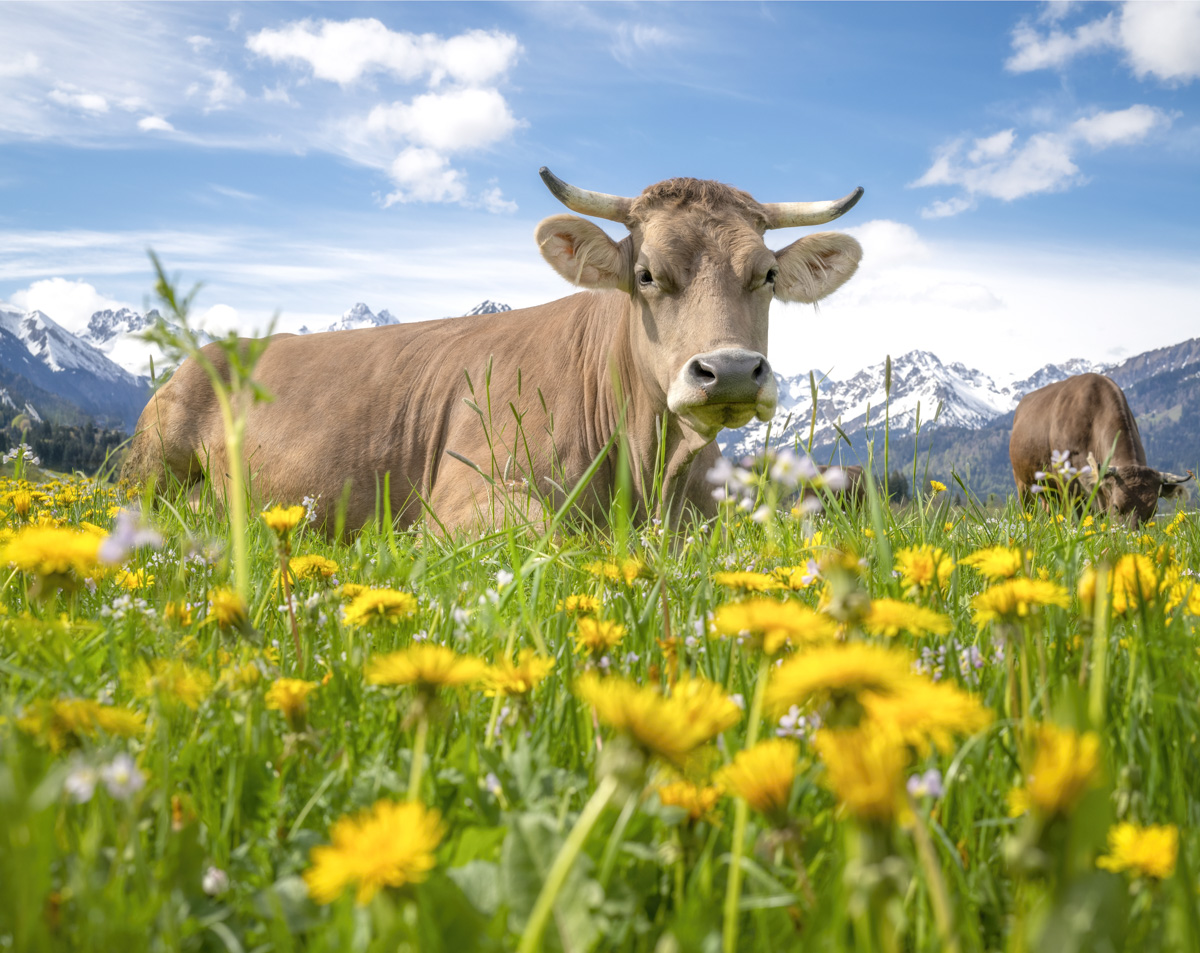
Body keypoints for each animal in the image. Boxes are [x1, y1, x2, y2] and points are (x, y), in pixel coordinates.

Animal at [124, 170, 864, 535]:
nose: (731, 370)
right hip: (148, 466)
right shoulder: (464, 492)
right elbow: (551, 534)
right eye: (647, 274)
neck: (651, 464)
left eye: (767, 274)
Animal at [1008, 372, 1195, 523]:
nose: (1132, 537)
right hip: (1022, 482)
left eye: (1153, 511)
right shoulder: (1068, 483)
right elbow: (1075, 518)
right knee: (1029, 511)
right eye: (1117, 507)